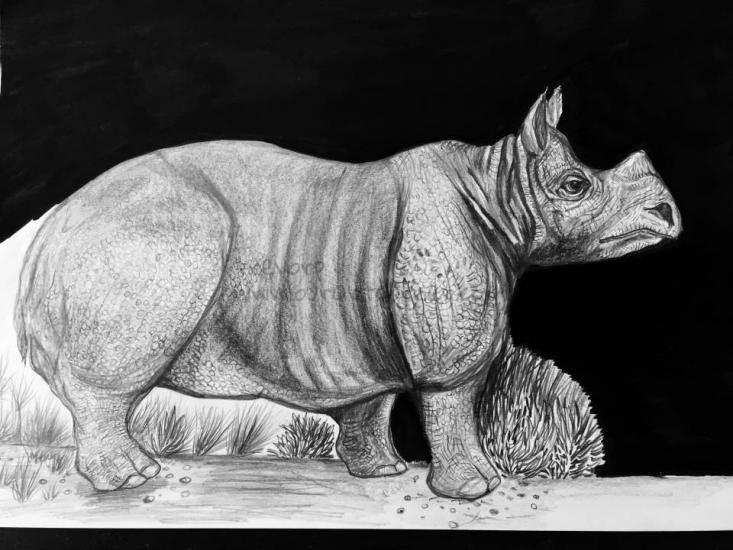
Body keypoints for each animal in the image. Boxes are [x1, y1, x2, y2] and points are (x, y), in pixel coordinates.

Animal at [14, 87, 681, 499]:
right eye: (574, 187)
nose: (669, 216)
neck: (498, 186)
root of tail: (48, 234)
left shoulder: (356, 335)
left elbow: (372, 402)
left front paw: (382, 472)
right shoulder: (446, 342)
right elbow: (452, 397)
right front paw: (475, 490)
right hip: (147, 239)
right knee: (114, 375)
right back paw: (132, 480)